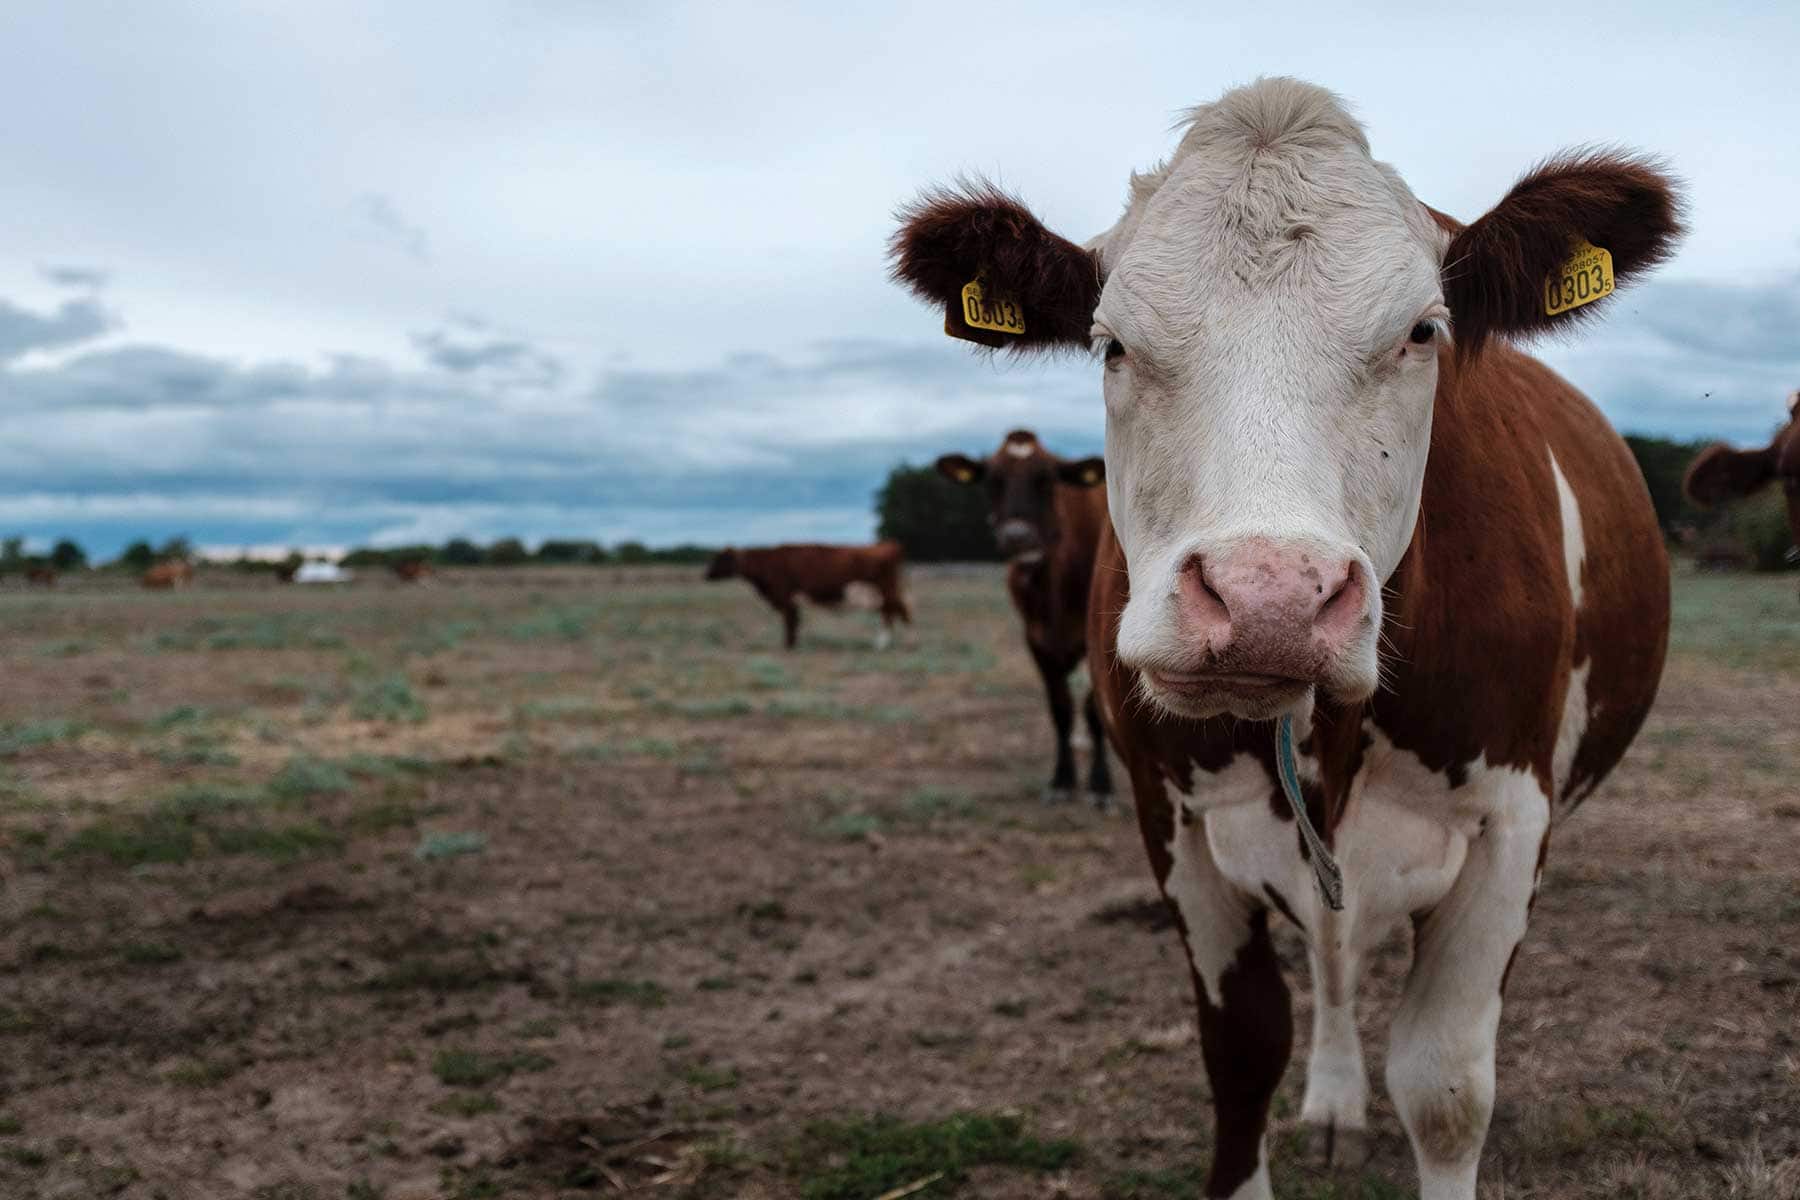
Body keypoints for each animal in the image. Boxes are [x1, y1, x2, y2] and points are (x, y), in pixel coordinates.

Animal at [704, 542, 911, 650]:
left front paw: (788, 646)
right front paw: (792, 644)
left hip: (886, 591)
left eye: (721, 558)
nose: (706, 575)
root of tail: (887, 545)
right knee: (892, 612)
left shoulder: (786, 598)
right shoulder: (792, 601)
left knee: (896, 611)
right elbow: (795, 622)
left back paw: (891, 642)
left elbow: (790, 622)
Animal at [936, 429, 1111, 805]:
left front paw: (1100, 784)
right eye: (993, 481)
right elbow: (1060, 709)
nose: (1018, 537)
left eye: (1046, 479)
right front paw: (1062, 780)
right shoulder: (1036, 639)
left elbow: (1093, 709)